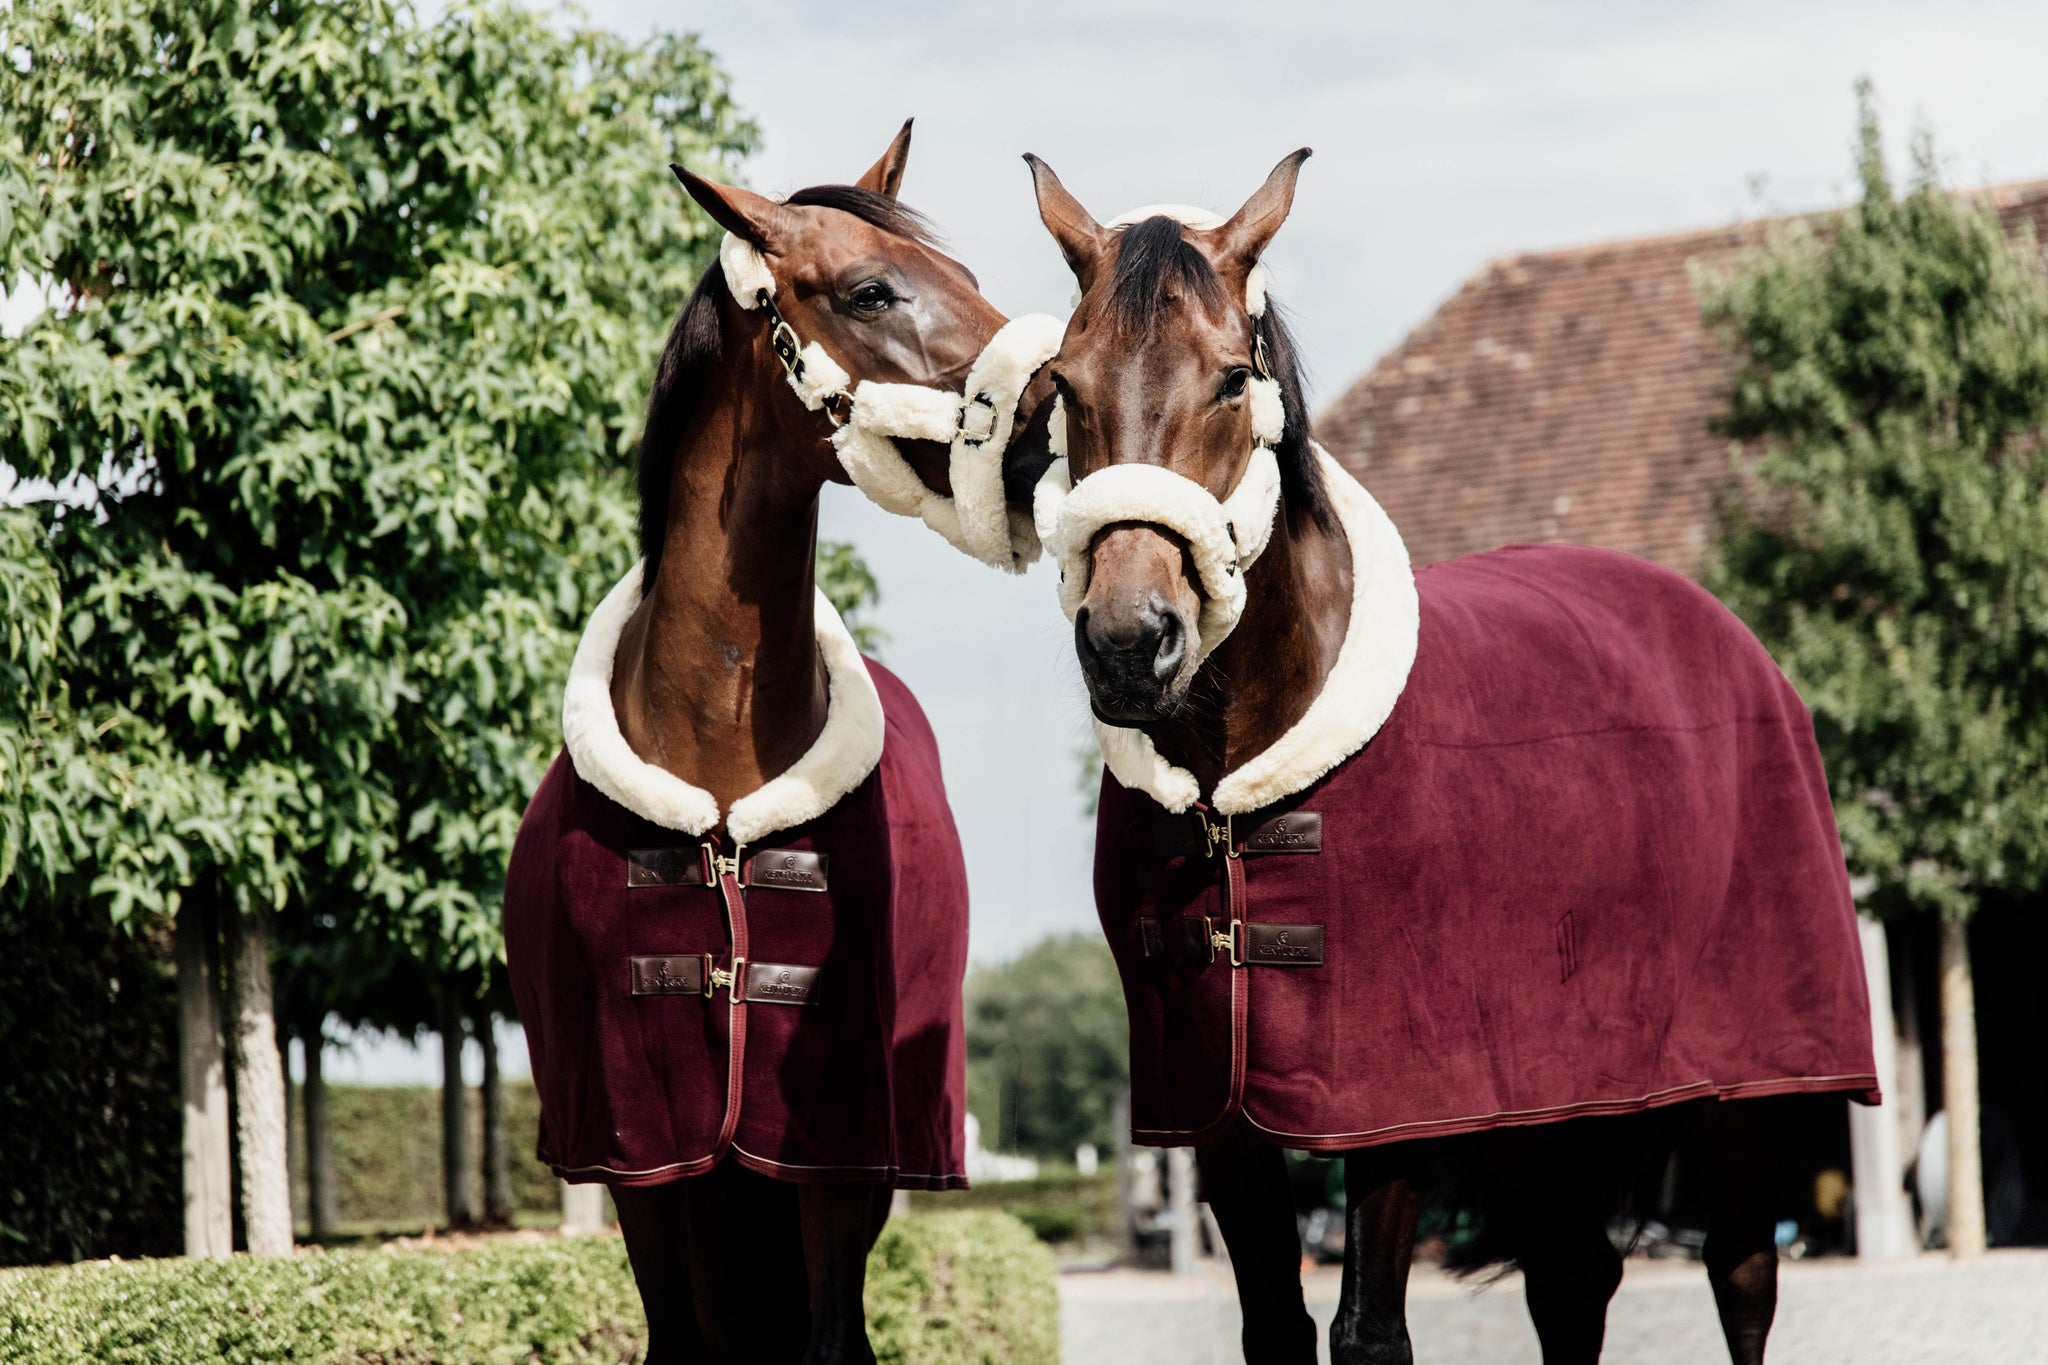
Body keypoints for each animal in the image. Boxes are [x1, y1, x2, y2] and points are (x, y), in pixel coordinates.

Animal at [503, 122, 1056, 1358]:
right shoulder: (646, 1168)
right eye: (870, 289)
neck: (717, 780)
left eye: (967, 275)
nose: (1061, 418)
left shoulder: (836, 1163)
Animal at [1015, 152, 1875, 1365]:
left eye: (1231, 381)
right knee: (1573, 1277)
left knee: (1741, 1270)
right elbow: (1275, 1322)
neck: (1239, 785)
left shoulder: (1395, 1108)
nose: (1132, 641)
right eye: (1064, 382)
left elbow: (1369, 1330)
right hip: (1558, 1100)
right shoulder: (1224, 1111)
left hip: (1743, 1088)